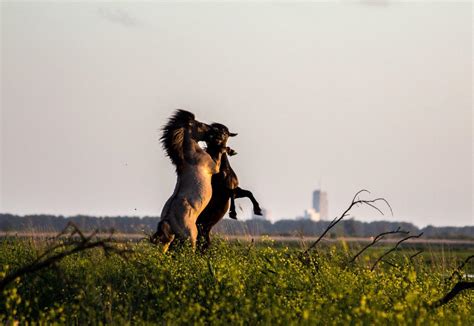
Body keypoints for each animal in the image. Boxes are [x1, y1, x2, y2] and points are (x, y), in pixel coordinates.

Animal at [150, 111, 228, 251]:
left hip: (169, 238)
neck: (191, 156)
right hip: (191, 236)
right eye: (201, 124)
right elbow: (218, 160)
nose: (213, 129)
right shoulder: (213, 167)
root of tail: (167, 219)